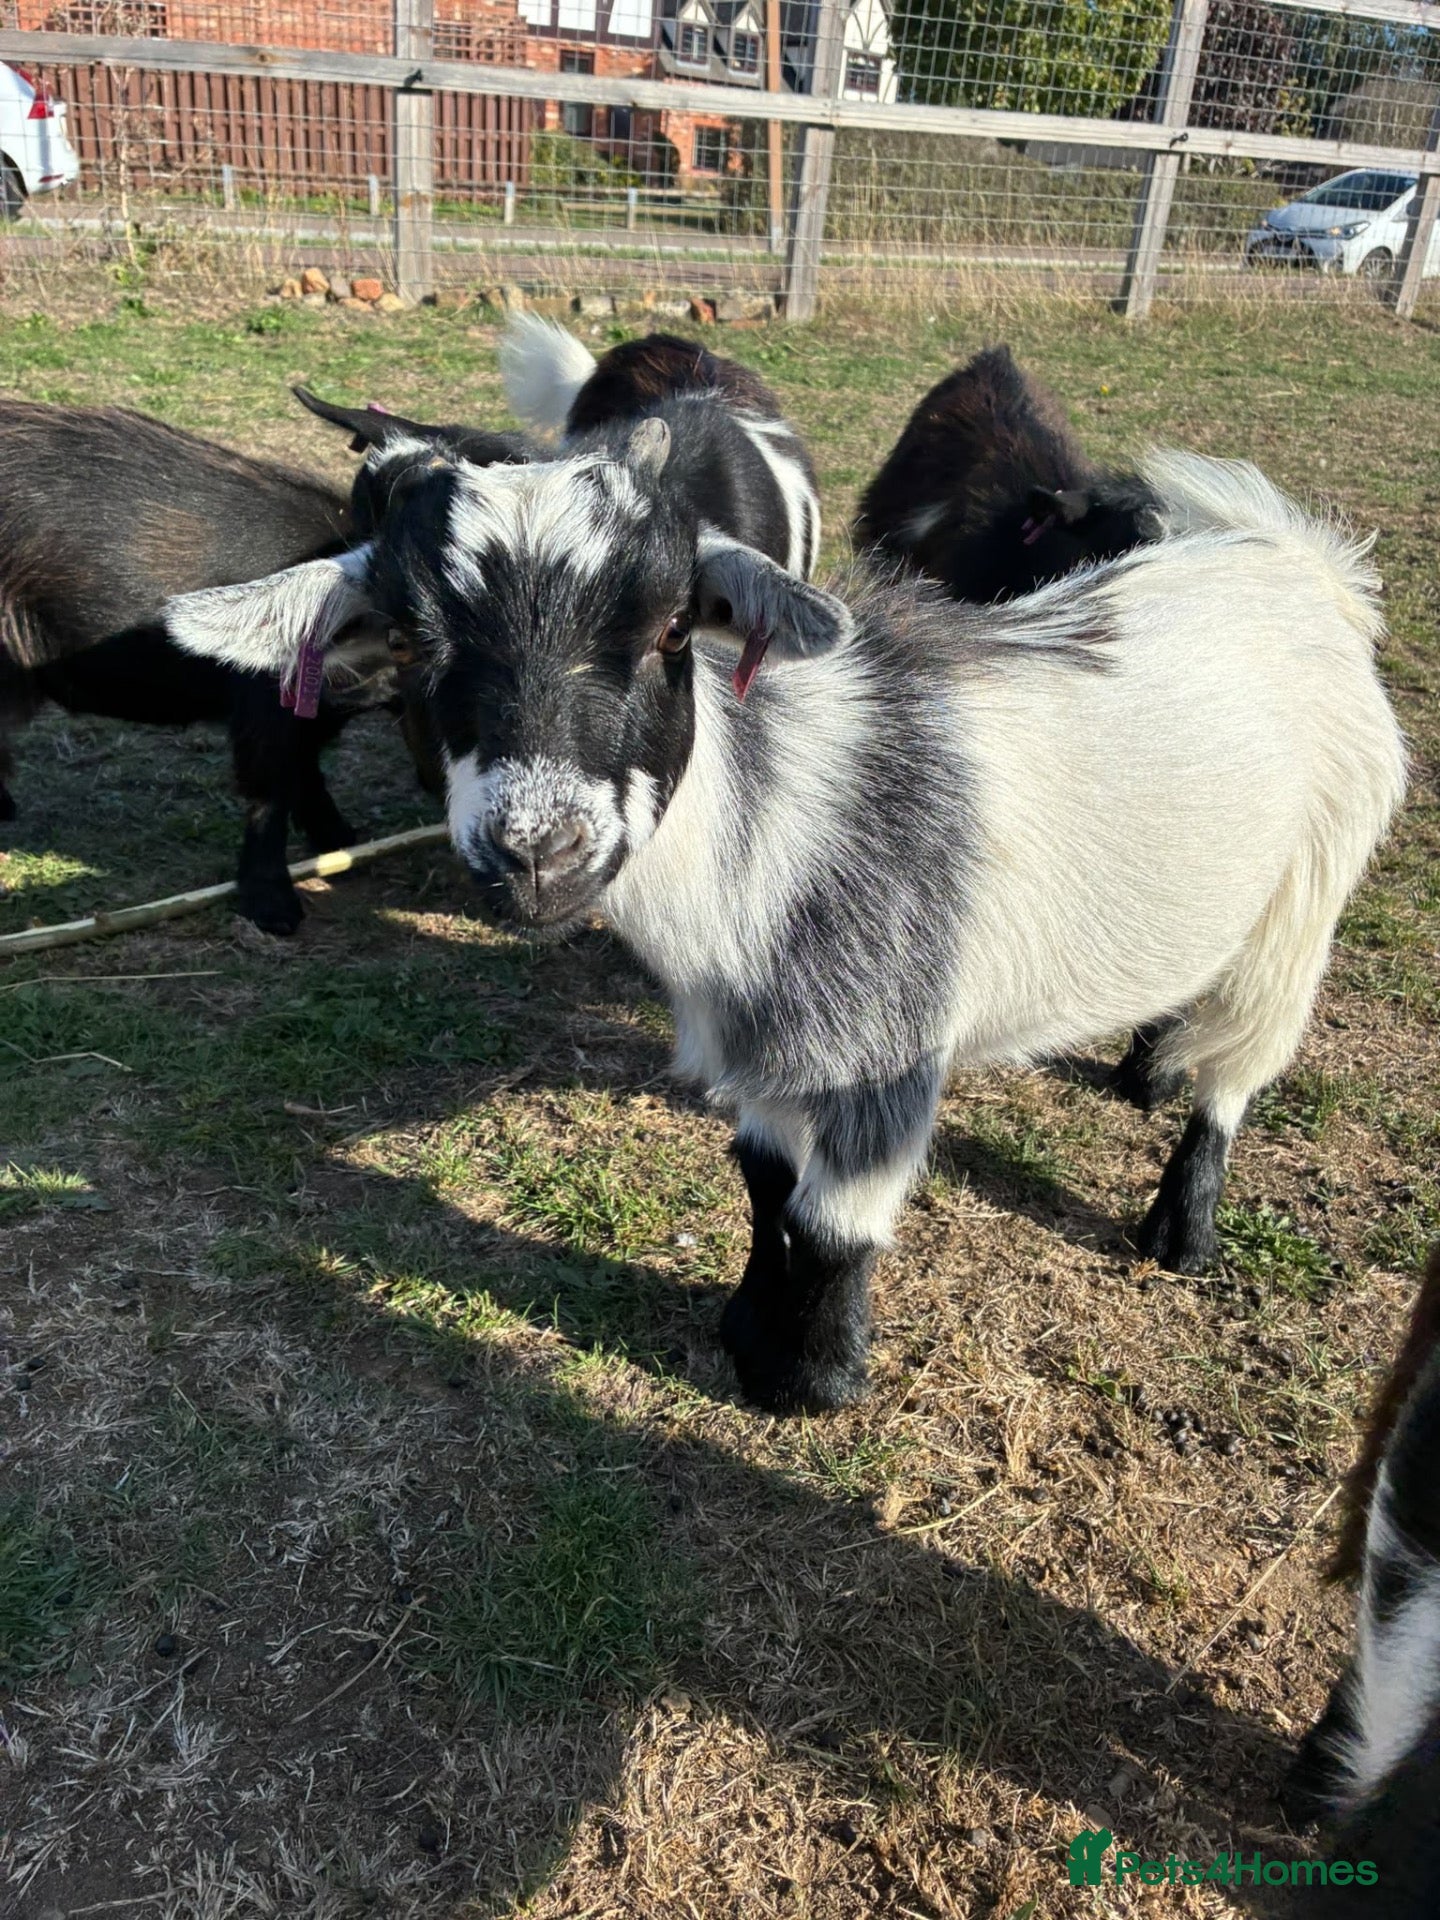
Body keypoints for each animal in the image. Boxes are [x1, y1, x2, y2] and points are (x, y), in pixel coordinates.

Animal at [162, 433, 1405, 1415]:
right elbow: (765, 1184)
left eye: (675, 629)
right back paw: (1142, 1069)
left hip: (1312, 885)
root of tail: (1293, 560)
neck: (764, 834)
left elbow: (836, 1223)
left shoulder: (885, 1046)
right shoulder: (762, 1037)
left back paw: (1182, 1225)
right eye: (413, 643)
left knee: (1243, 1065)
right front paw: (748, 1335)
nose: (538, 850)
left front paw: (814, 1384)